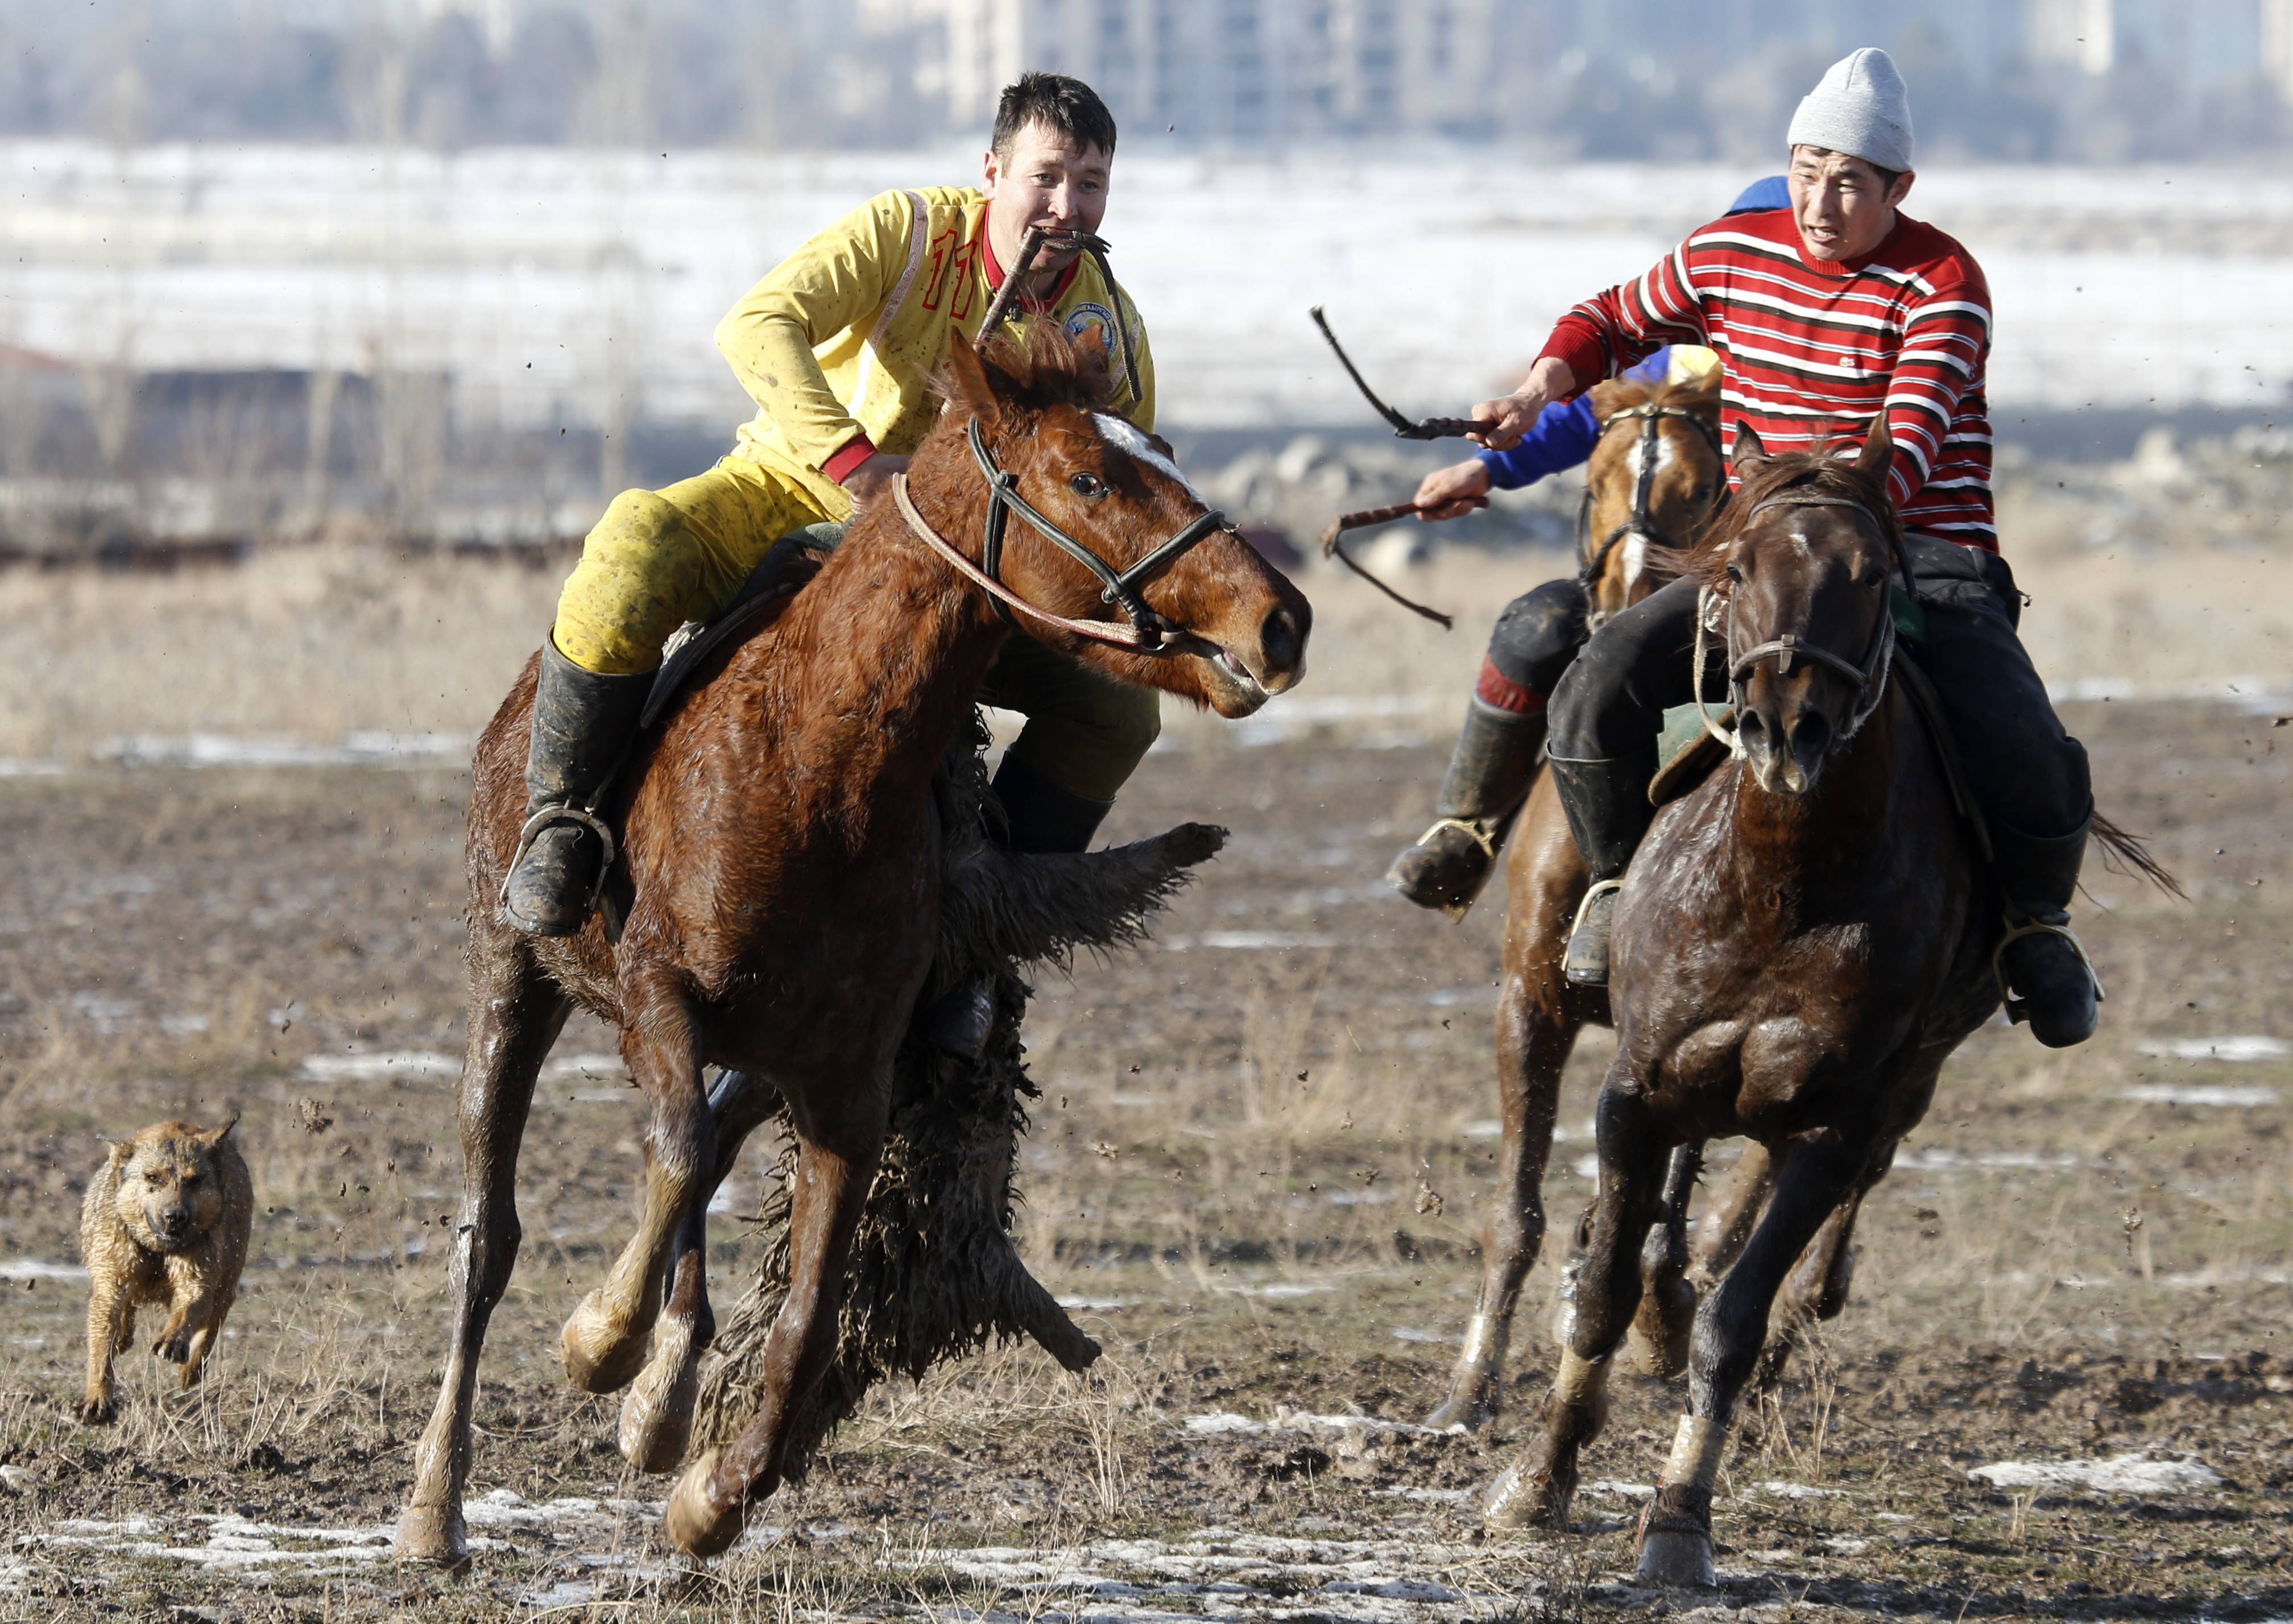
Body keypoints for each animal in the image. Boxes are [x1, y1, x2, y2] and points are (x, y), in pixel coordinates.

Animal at [79, 1115, 251, 1422]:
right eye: (152, 1177)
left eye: (194, 1180)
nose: (175, 1217)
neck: (158, 1252)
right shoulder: (110, 1284)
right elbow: (102, 1346)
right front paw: (97, 1400)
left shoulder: (198, 1280)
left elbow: (187, 1313)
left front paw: (173, 1341)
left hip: (227, 1281)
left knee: (211, 1326)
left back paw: (191, 1371)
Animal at [394, 325, 1311, 1560]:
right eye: (1089, 478)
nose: (1281, 619)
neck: (813, 765)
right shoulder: (657, 998)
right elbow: (672, 1154)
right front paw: (603, 1343)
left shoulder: (848, 1086)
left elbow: (806, 1307)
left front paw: (713, 1491)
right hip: (513, 978)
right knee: (491, 1236)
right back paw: (437, 1504)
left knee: (711, 1147)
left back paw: (661, 1399)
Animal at [1421, 364, 1724, 1422]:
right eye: (1594, 480)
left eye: (1697, 489)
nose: (1633, 596)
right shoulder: (1529, 1005)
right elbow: (1515, 1211)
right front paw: (1467, 1388)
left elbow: (1662, 1210)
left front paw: (1657, 1318)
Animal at [1485, 424, 2009, 1578]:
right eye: (1735, 571)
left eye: (1874, 578)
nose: (1785, 725)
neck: (1782, 883)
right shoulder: (1629, 1086)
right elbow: (1599, 1285)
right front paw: (1537, 1481)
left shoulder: (1830, 1120)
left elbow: (1734, 1315)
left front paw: (1681, 1520)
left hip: (1906, 1076)